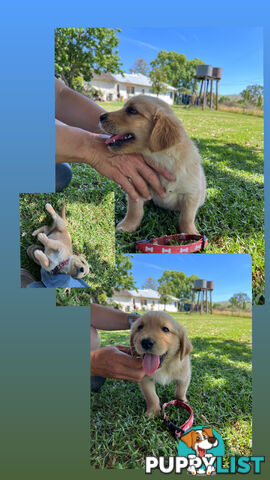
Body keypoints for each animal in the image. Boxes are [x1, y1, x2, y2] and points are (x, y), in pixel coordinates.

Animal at [100, 94, 206, 234]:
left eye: (132, 111)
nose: (100, 116)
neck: (161, 159)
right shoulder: (137, 185)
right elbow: (135, 210)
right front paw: (128, 225)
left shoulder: (192, 193)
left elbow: (187, 217)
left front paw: (191, 232)